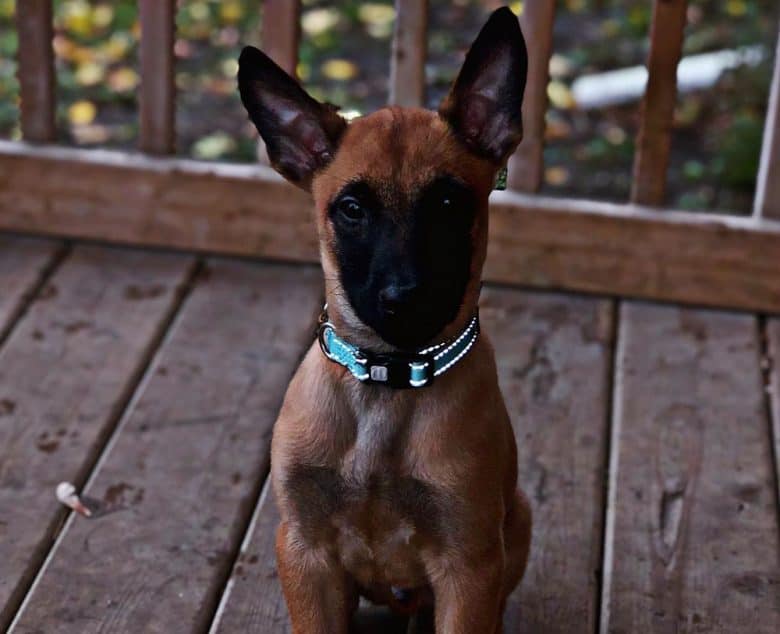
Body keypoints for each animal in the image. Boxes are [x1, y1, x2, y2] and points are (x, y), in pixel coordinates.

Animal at [238, 6, 532, 632]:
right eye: (352, 209)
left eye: (447, 204)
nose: (404, 297)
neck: (387, 384)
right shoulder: (304, 551)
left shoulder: (469, 566)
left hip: (517, 519)